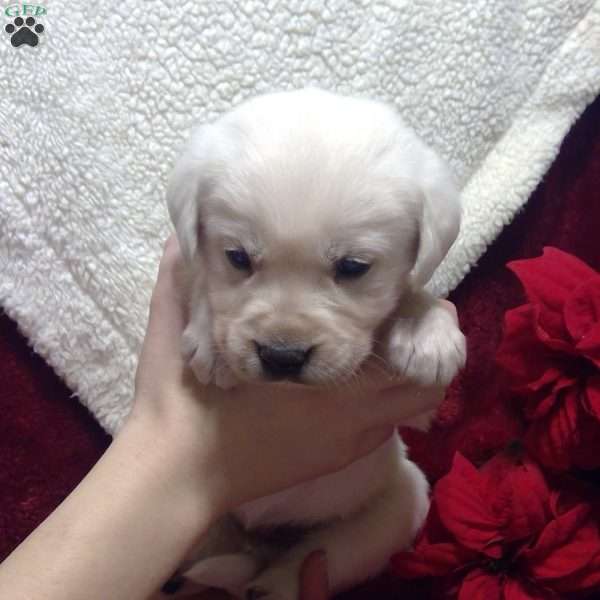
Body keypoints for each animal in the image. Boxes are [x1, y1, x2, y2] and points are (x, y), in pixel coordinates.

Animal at [166, 86, 466, 596]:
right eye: (237, 257)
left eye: (353, 267)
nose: (282, 356)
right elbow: (199, 279)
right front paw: (211, 343)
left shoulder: (414, 406)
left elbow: (412, 293)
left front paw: (426, 330)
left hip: (400, 501)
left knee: (302, 564)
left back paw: (271, 585)